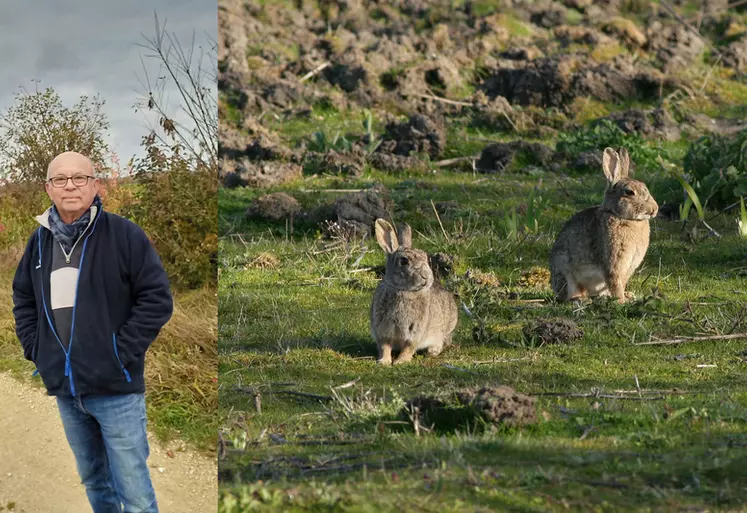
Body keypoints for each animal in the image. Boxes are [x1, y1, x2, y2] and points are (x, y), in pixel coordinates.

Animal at [372, 218, 458, 366]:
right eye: (404, 261)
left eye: (425, 257)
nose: (426, 276)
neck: (404, 290)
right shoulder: (382, 330)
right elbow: (385, 347)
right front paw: (384, 361)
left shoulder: (416, 331)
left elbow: (409, 347)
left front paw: (401, 361)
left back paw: (432, 351)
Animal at [548, 146, 660, 302]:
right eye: (629, 192)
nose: (654, 209)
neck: (620, 216)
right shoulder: (613, 262)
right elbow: (615, 281)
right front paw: (621, 301)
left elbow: (621, 282)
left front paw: (625, 297)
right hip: (564, 269)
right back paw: (580, 299)